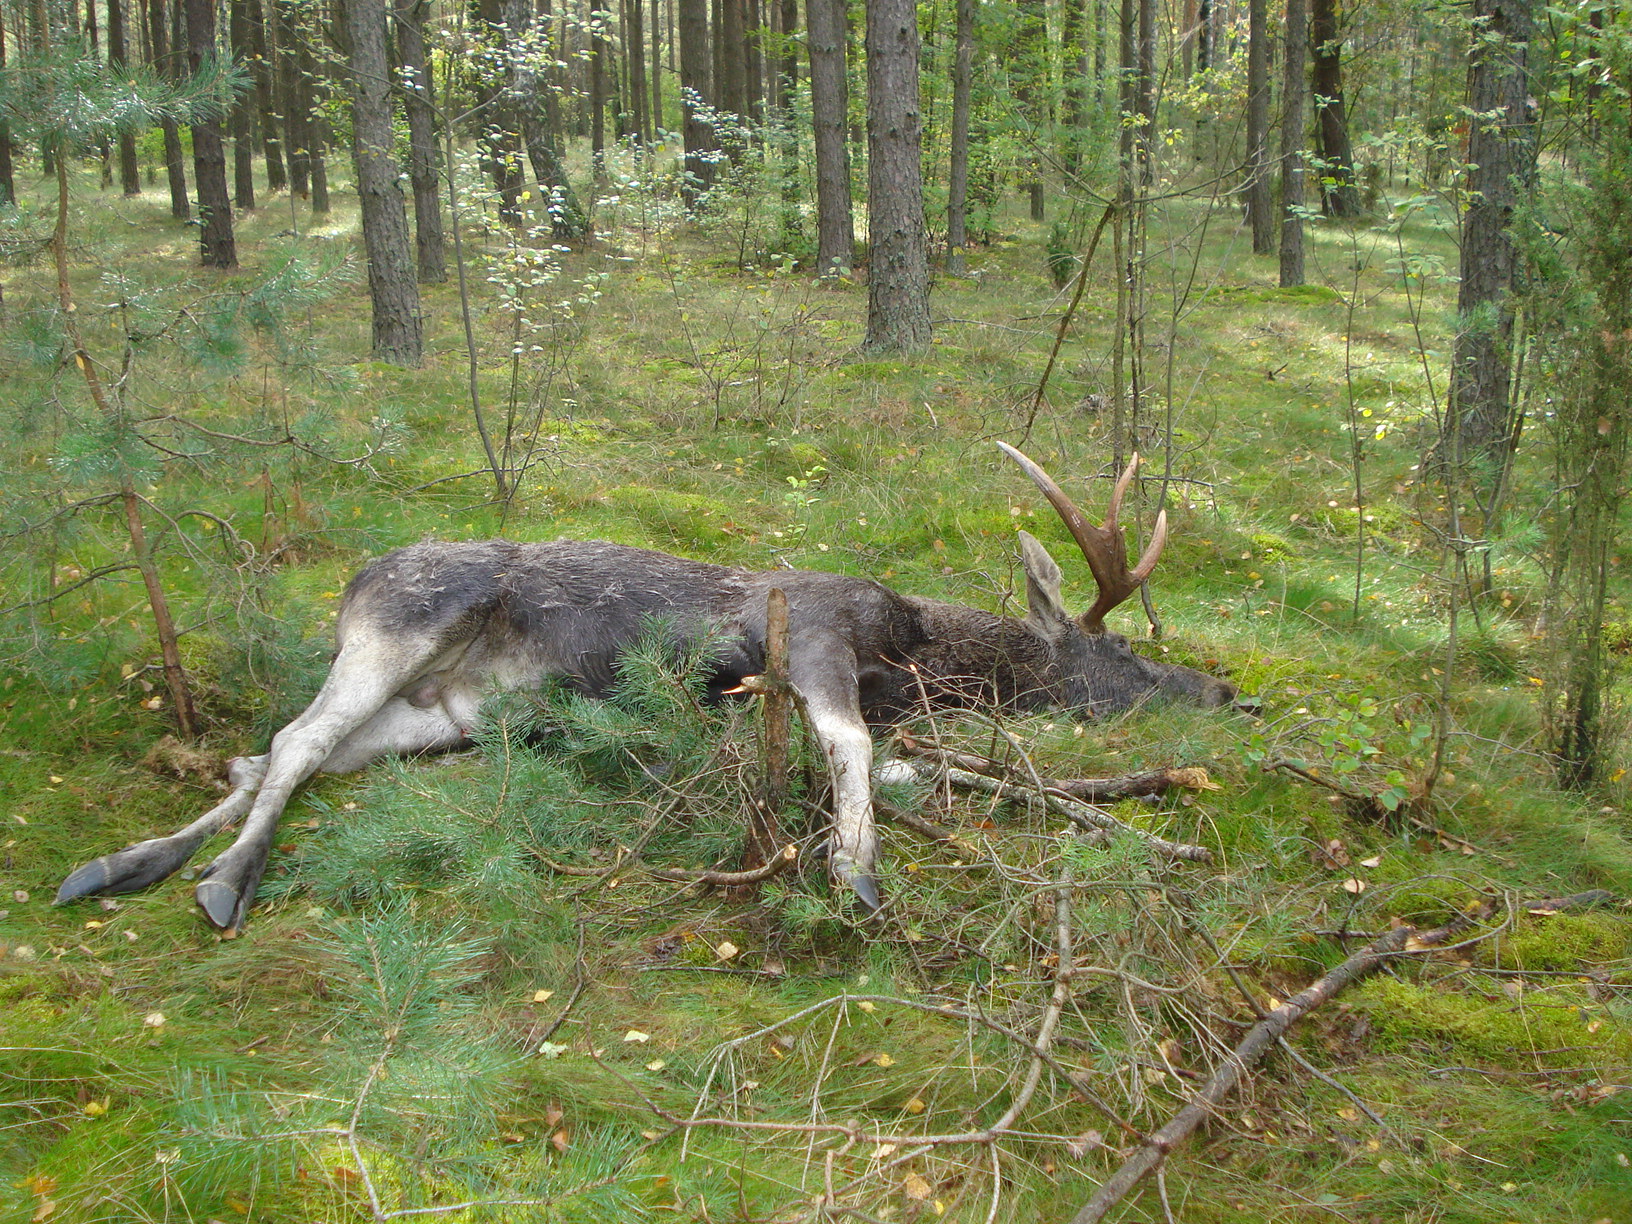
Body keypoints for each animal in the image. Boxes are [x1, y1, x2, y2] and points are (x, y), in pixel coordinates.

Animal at [57, 447, 1240, 933]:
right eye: (1126, 660)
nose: (1224, 692)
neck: (911, 650)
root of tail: (355, 577)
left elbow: (908, 768)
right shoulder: (813, 632)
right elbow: (852, 745)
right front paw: (855, 874)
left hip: (436, 717)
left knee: (263, 752)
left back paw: (132, 862)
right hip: (400, 624)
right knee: (293, 744)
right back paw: (220, 881)